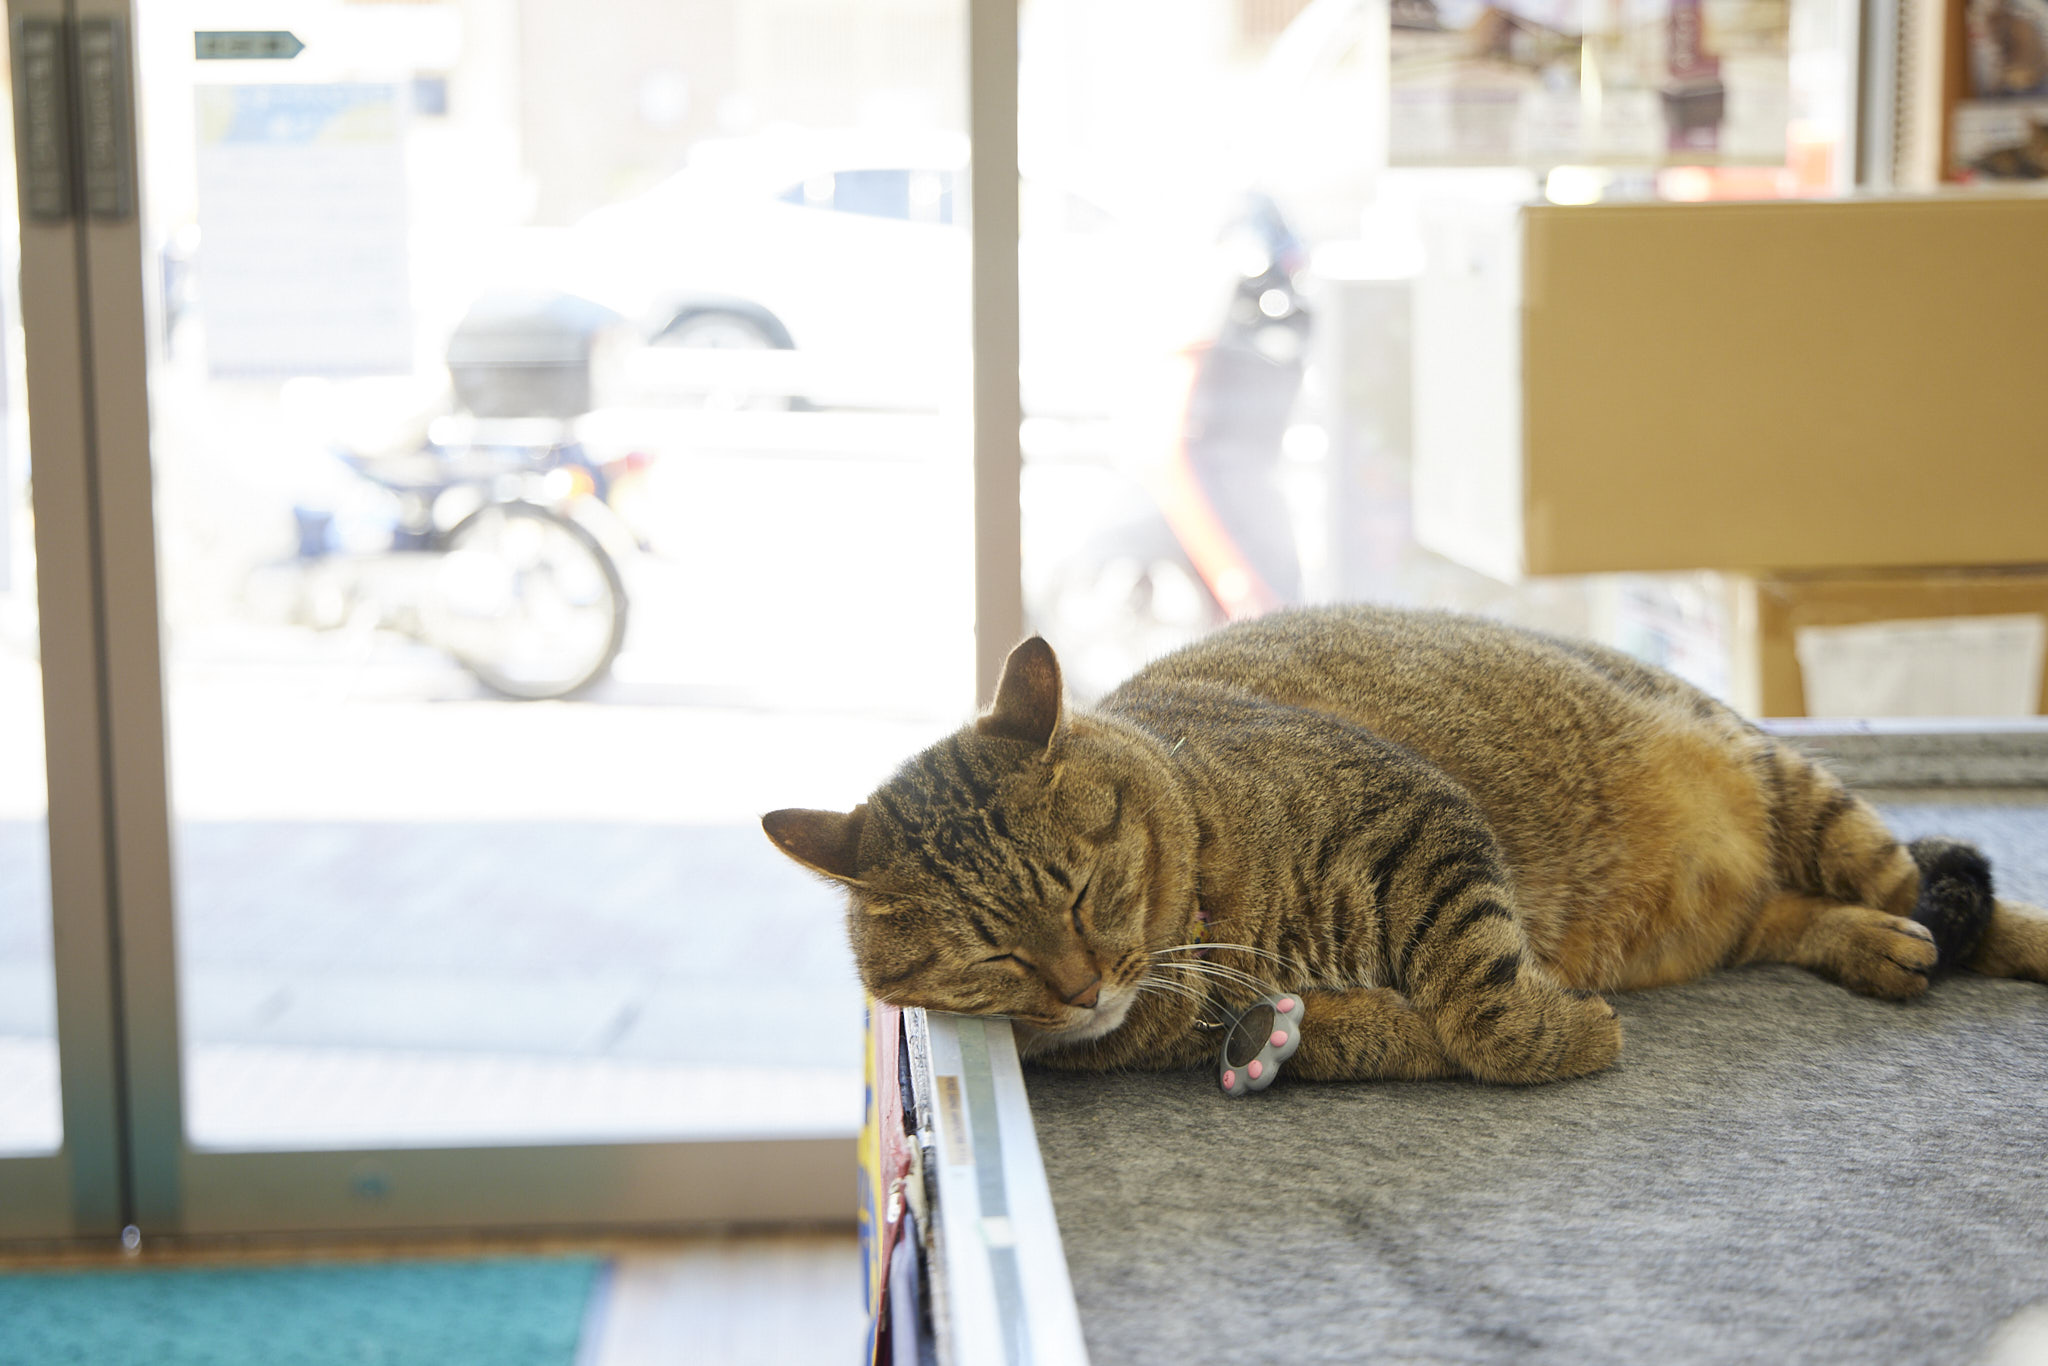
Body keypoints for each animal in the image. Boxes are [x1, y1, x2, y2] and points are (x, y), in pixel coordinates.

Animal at [761, 606, 2039, 1081]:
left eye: (1081, 894)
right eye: (993, 955)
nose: (1080, 987)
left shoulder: (1422, 826)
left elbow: (1484, 1004)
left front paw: (1560, 1032)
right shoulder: (1297, 1024)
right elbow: (1414, 1032)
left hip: (1794, 787)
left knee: (1938, 893)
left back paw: (2003, 937)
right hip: (1731, 914)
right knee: (1805, 917)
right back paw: (1870, 944)